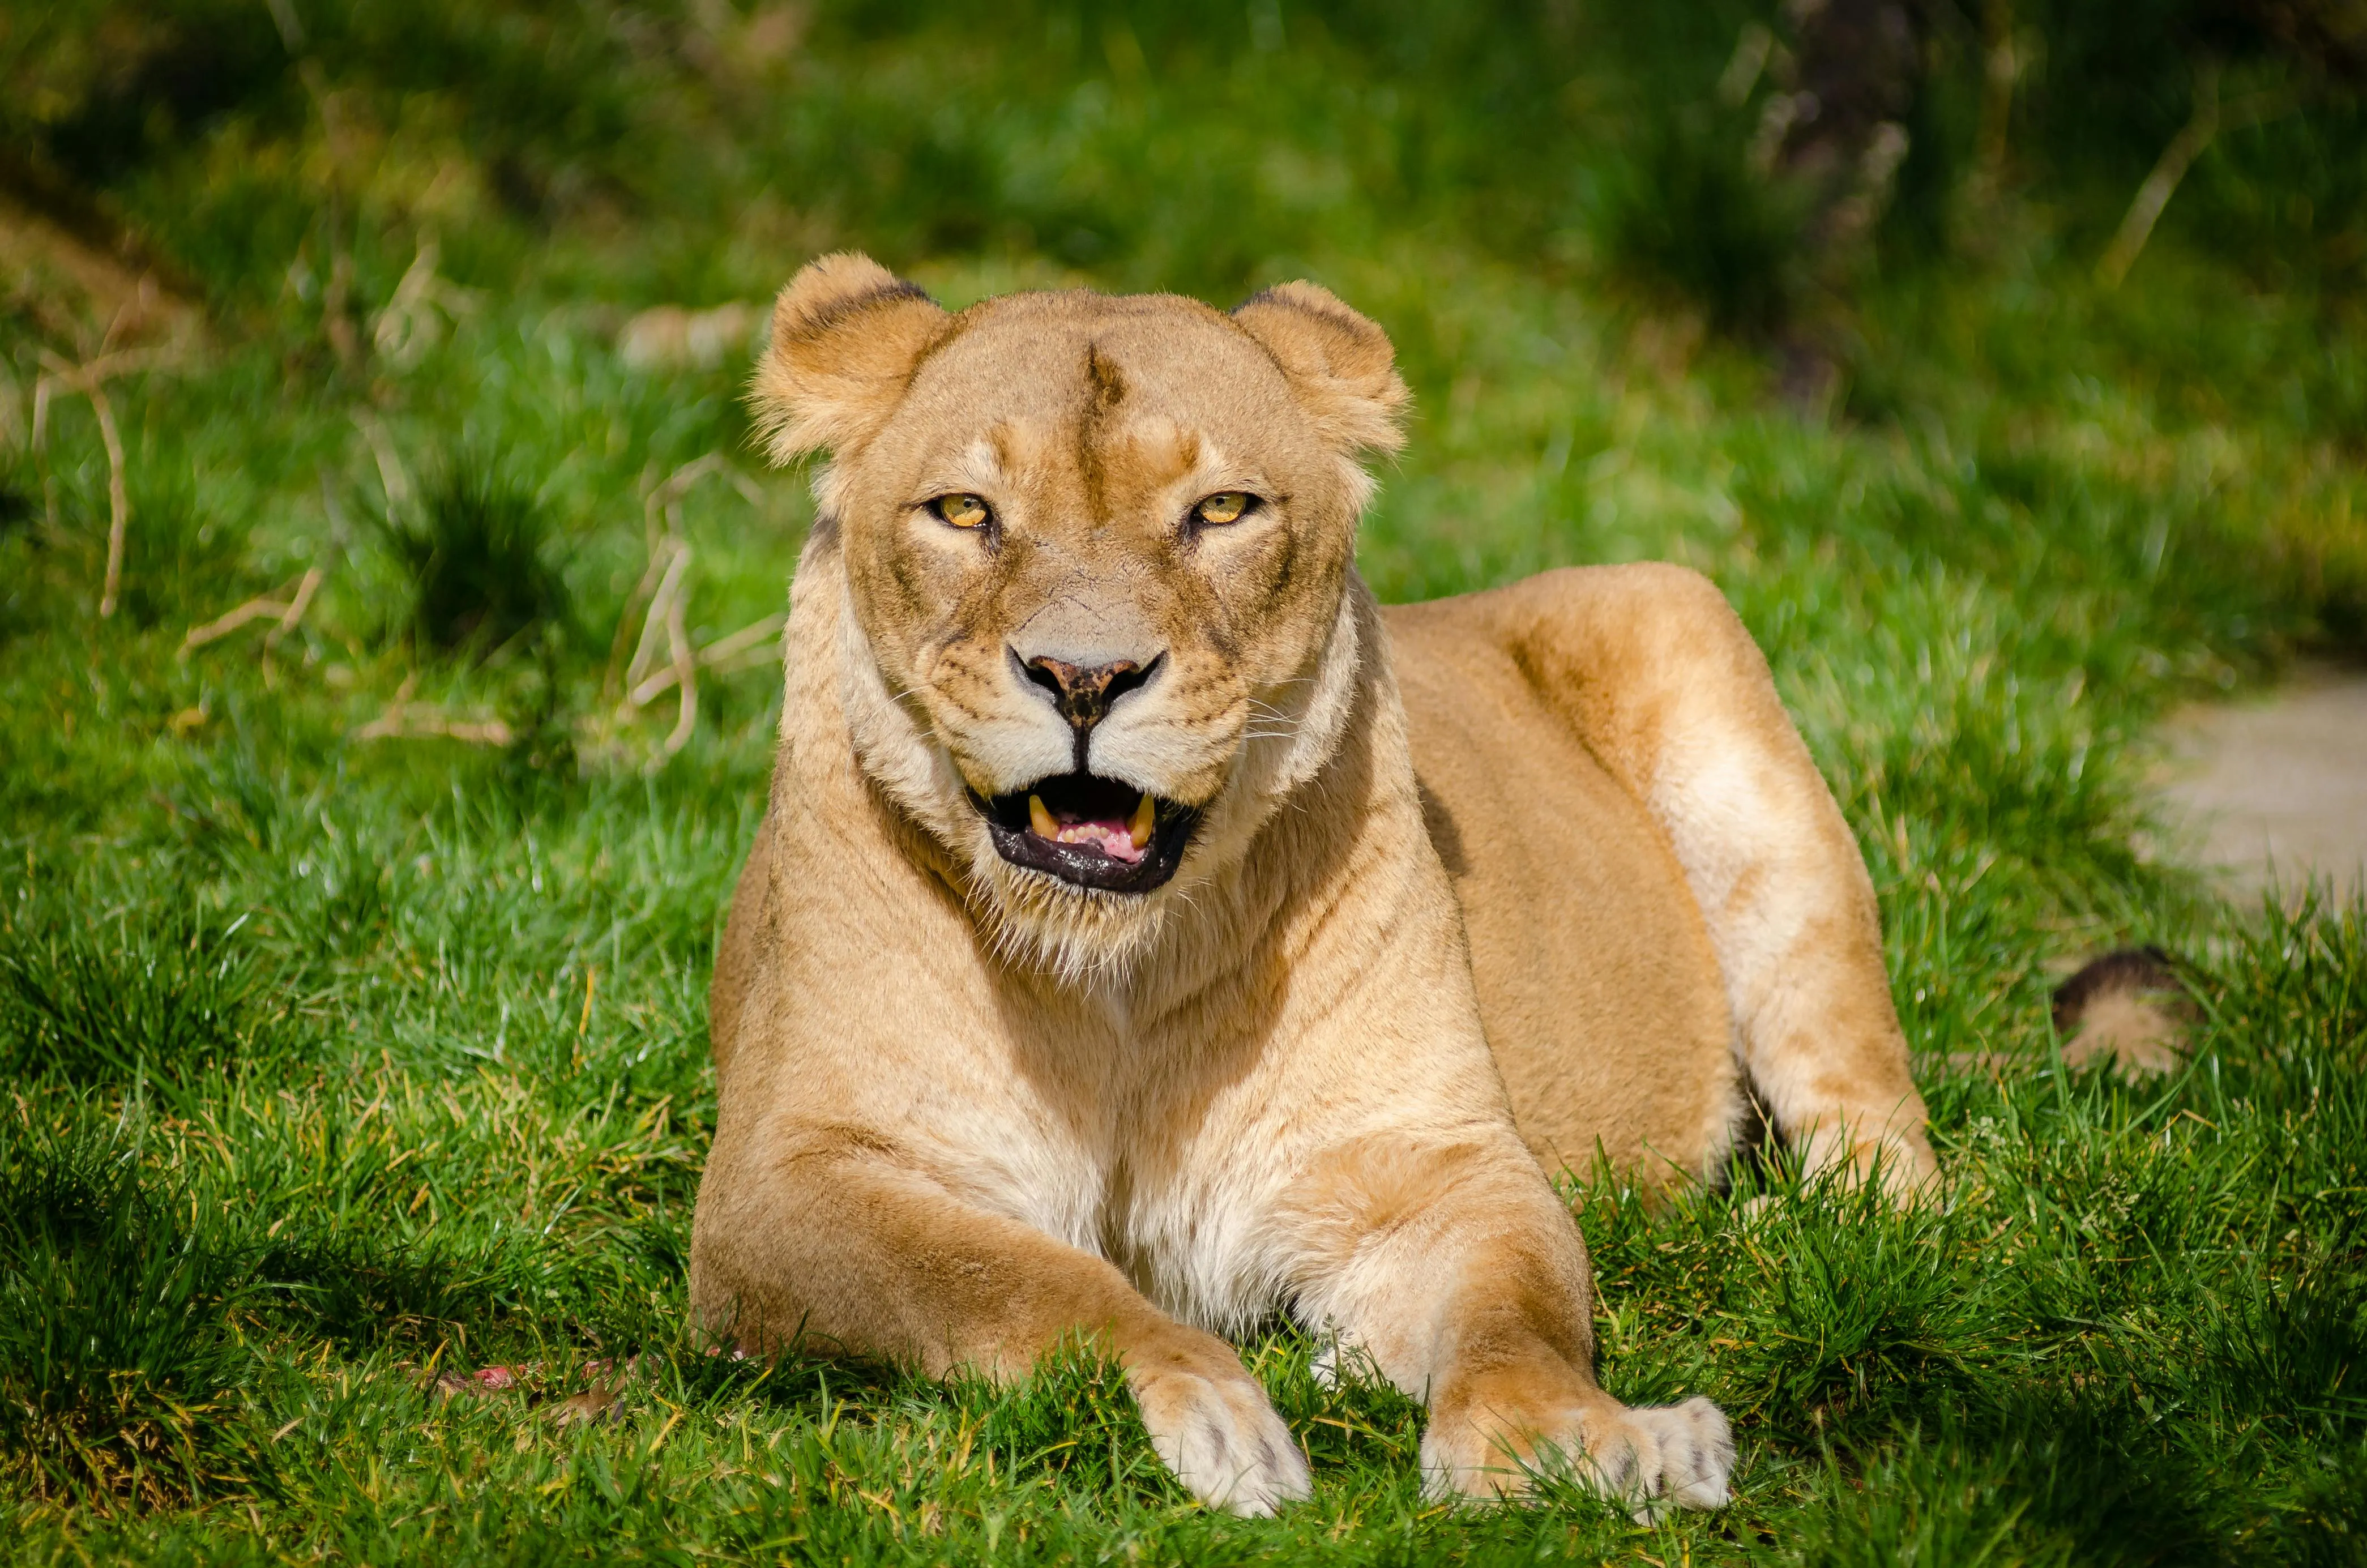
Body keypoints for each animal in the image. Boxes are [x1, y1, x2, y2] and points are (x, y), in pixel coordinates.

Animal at [689, 254, 1936, 1516]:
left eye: (1220, 511)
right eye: (963, 512)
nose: (1084, 678)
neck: (1115, 982)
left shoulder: (1434, 1158)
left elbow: (1518, 1317)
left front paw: (1574, 1442)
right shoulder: (778, 1184)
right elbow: (1016, 1278)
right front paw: (1215, 1410)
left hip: (1696, 661)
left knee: (1889, 1146)